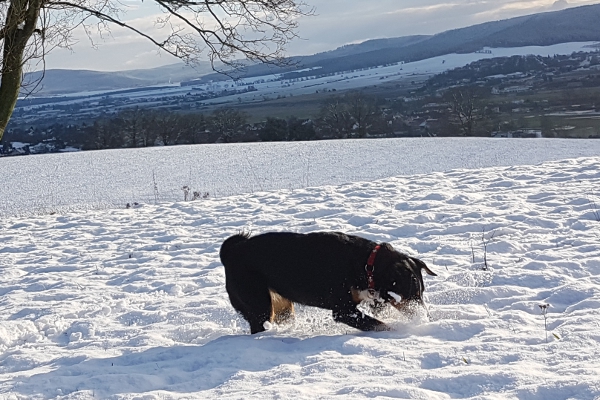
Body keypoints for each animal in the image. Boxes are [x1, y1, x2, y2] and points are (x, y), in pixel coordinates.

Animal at [220, 231, 436, 334]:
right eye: (412, 294)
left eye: (421, 293)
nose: (426, 317)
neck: (366, 264)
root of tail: (231, 252)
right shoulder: (343, 310)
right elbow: (381, 325)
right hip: (260, 305)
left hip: (282, 307)